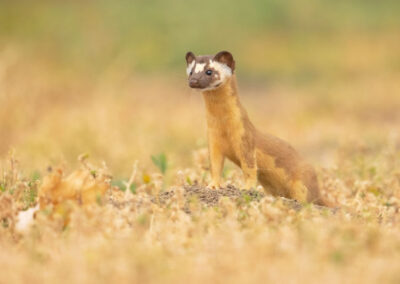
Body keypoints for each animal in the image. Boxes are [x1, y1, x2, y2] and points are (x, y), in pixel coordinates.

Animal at [185, 51, 328, 205]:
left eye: (209, 71)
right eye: (191, 71)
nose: (193, 81)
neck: (223, 128)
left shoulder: (245, 138)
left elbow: (250, 168)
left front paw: (246, 188)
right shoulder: (213, 140)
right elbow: (215, 165)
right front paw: (213, 185)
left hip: (303, 181)